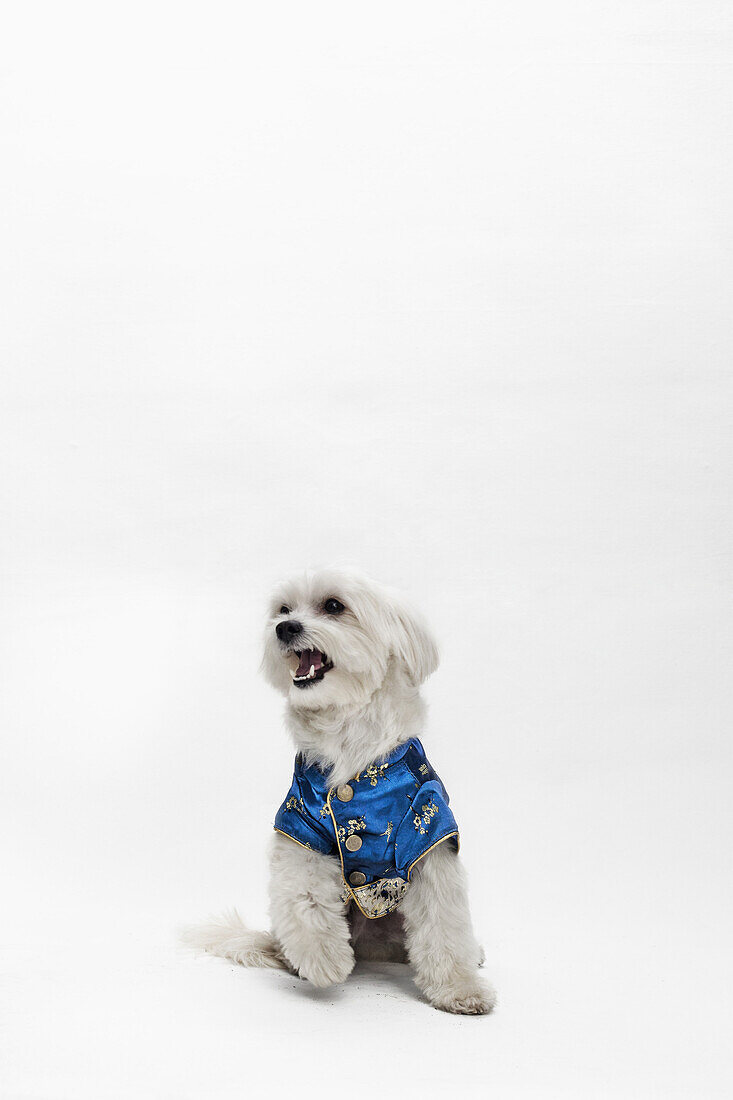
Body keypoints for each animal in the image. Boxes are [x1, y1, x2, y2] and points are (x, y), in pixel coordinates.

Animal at [186, 572, 497, 1016]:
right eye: (283, 610)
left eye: (333, 606)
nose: (284, 628)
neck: (348, 737)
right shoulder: (300, 824)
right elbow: (304, 892)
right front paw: (324, 959)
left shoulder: (430, 828)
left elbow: (444, 921)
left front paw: (461, 988)